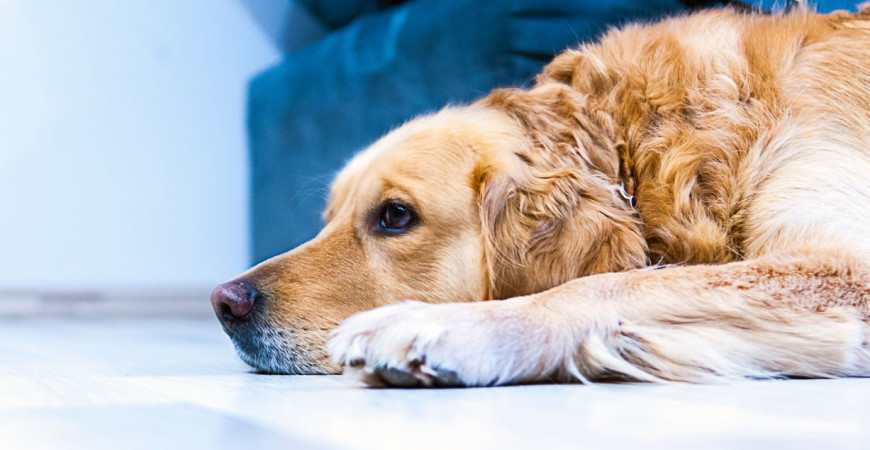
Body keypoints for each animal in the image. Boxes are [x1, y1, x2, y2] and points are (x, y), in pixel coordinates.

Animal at [213, 6, 870, 386]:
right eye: (327, 219)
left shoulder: (846, 265)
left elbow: (611, 284)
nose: (225, 303)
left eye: (395, 216)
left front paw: (443, 327)